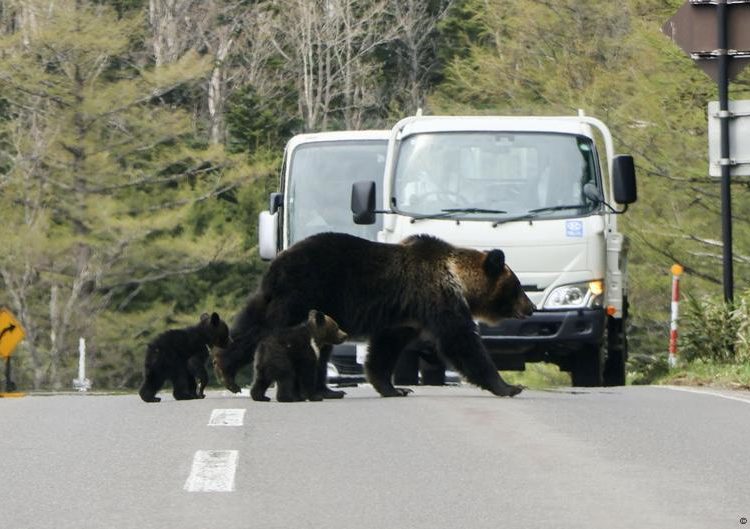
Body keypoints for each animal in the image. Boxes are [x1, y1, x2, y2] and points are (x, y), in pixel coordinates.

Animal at [213, 232, 535, 398]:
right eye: (517, 286)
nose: (531, 307)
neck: (456, 278)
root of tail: (277, 263)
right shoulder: (436, 298)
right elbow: (461, 341)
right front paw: (509, 386)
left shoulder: (406, 318)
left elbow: (384, 349)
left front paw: (393, 387)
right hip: (304, 293)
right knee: (270, 329)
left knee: (259, 325)